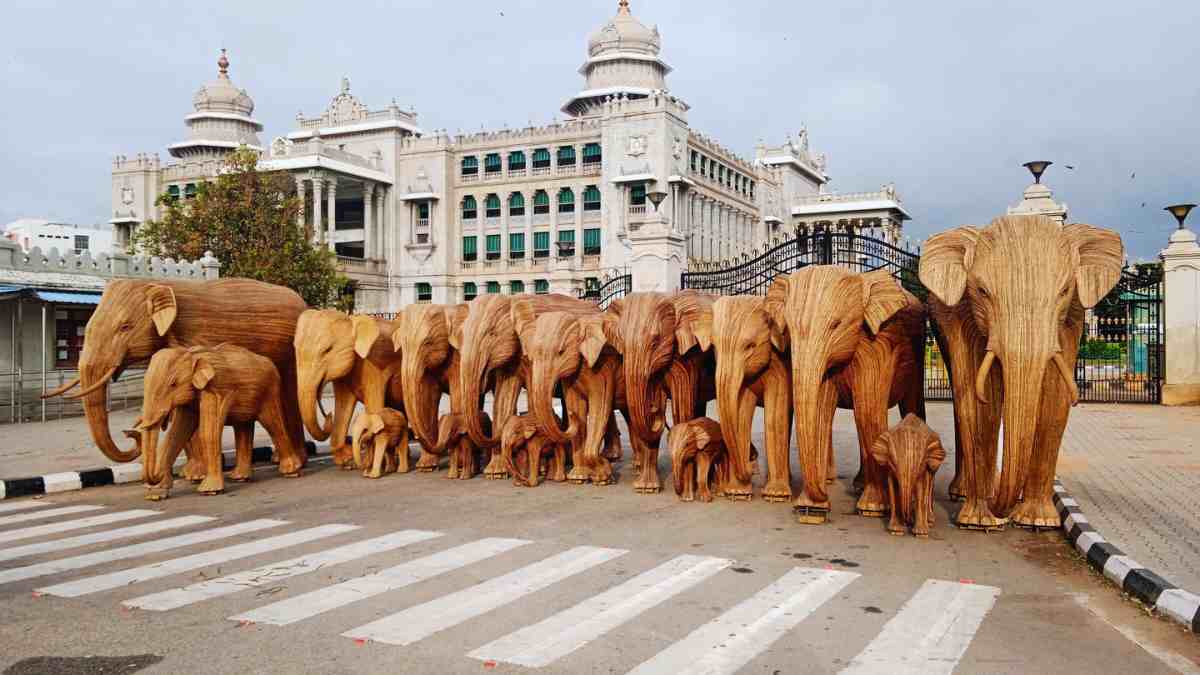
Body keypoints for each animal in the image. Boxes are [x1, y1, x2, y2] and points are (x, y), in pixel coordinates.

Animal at [916, 213, 1123, 526]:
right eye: (982, 291)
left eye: (1064, 291)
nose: (1003, 513)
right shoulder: (958, 313)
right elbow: (976, 404)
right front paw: (978, 521)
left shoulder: (1071, 317)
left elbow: (1055, 403)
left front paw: (1038, 521)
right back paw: (966, 495)